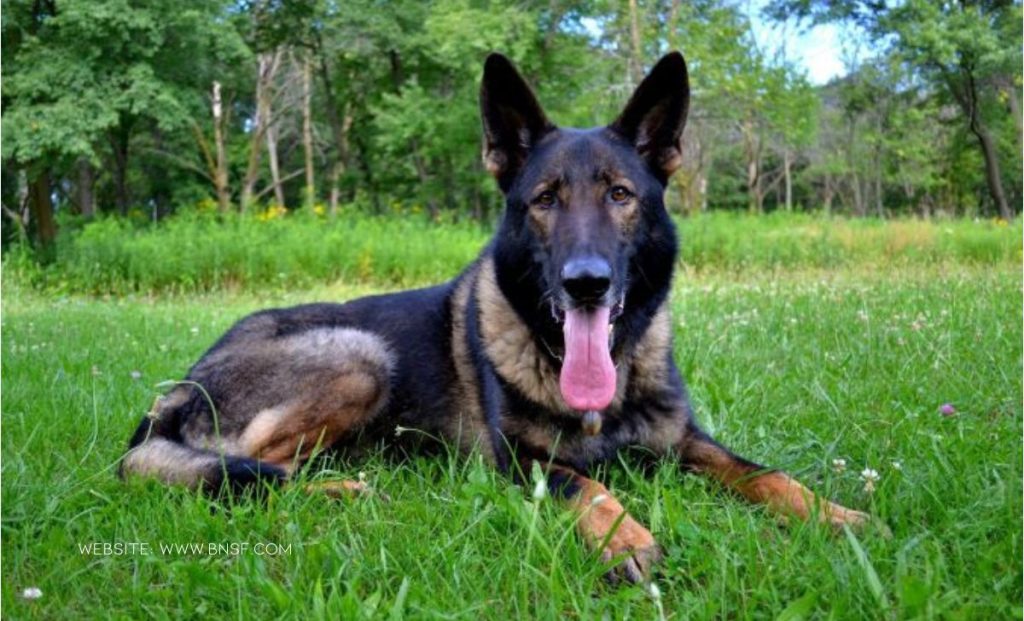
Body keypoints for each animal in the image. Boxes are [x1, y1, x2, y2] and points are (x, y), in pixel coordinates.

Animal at [121, 52, 872, 582]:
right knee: (240, 468)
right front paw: (624, 536)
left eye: (620, 195)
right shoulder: (521, 461)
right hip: (359, 355)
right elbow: (588, 482)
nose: (586, 283)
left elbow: (764, 473)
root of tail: (177, 389)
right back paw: (340, 491)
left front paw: (835, 513)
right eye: (544, 199)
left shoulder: (686, 439)